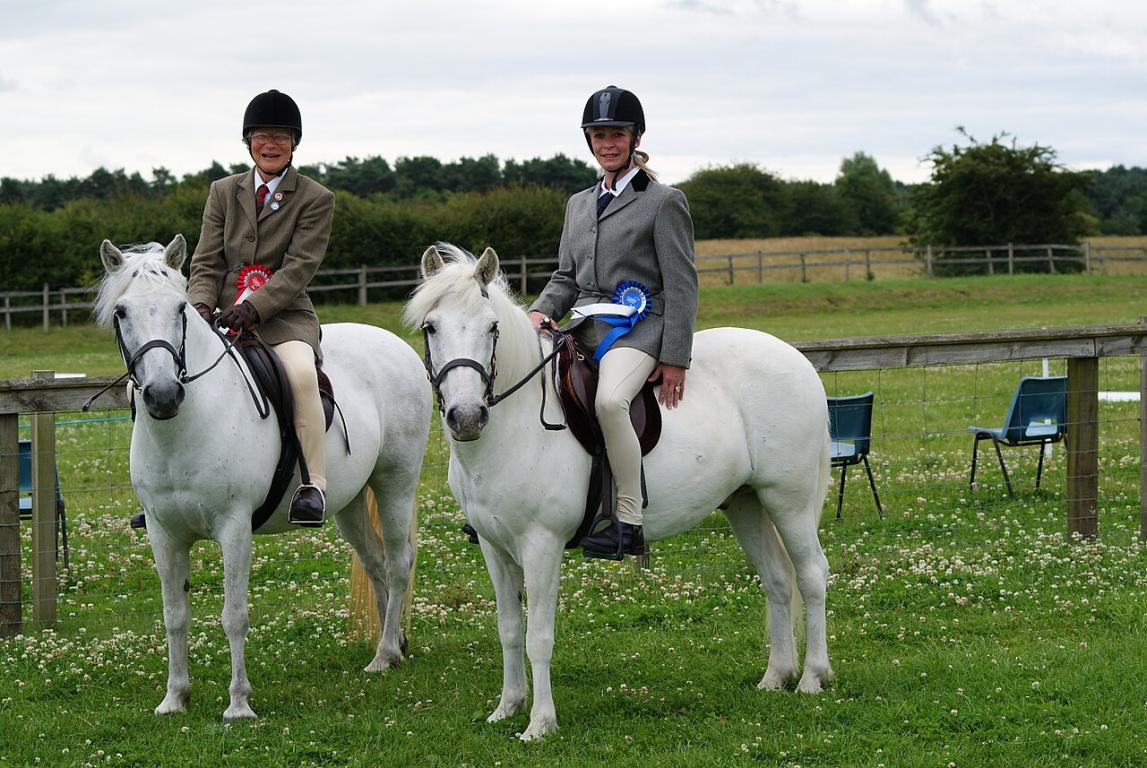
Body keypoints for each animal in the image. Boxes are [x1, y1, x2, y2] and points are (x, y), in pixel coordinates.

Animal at [94, 235, 432, 721]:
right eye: (122, 312)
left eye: (180, 309)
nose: (162, 395)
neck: (185, 426)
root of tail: (394, 344)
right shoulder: (163, 533)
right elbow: (174, 616)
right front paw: (174, 697)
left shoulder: (234, 528)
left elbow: (234, 616)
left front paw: (238, 704)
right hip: (349, 504)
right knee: (375, 563)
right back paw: (394, 647)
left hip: (395, 484)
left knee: (399, 561)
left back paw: (384, 655)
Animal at [406, 244, 834, 741]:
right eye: (430, 328)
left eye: (492, 327)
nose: (467, 416)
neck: (517, 421)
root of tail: (796, 359)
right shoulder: (495, 547)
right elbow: (509, 629)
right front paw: (508, 707)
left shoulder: (541, 545)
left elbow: (538, 637)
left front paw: (540, 723)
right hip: (746, 503)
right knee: (778, 580)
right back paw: (775, 677)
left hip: (790, 501)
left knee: (811, 575)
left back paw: (811, 678)